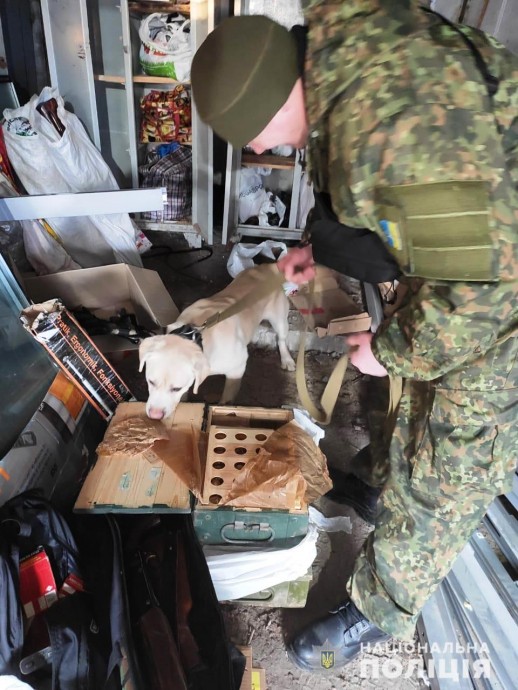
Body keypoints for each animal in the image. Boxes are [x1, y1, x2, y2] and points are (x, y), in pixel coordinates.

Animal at [139, 263, 296, 420]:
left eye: (176, 388)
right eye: (150, 381)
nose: (155, 415)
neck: (197, 336)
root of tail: (267, 267)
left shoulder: (237, 370)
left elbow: (227, 398)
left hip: (280, 320)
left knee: (282, 339)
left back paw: (287, 359)